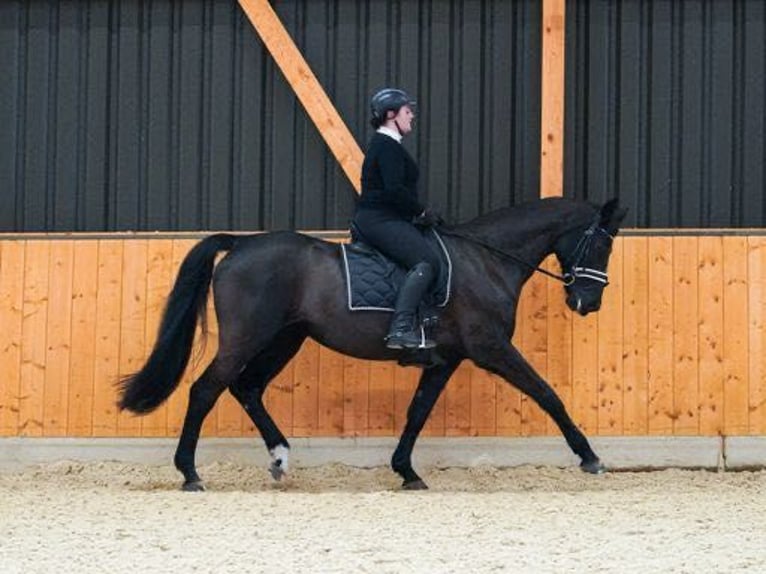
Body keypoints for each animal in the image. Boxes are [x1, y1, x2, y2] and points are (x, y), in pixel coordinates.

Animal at [118, 197, 624, 490]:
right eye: (602, 243)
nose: (588, 302)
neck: (486, 261)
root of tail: (240, 245)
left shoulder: (444, 360)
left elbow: (418, 413)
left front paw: (407, 471)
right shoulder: (491, 349)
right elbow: (547, 394)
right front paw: (590, 458)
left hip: (284, 339)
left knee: (247, 389)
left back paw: (280, 458)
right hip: (247, 338)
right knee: (206, 390)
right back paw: (190, 474)